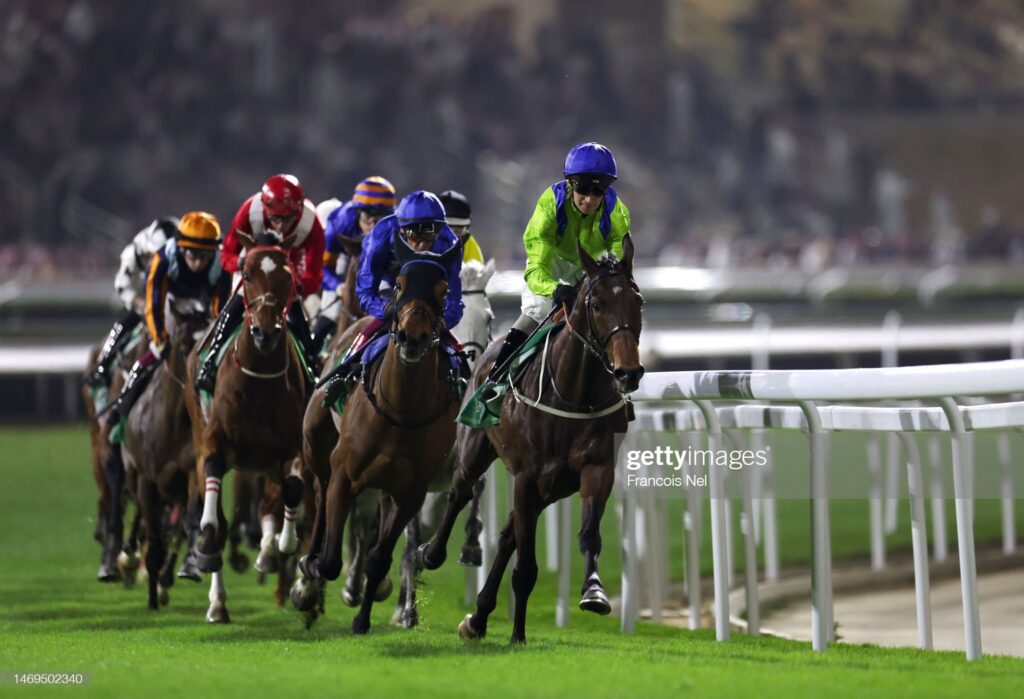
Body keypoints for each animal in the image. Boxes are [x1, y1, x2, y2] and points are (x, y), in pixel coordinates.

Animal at [184, 236, 309, 622]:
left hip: (264, 463)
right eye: (248, 274)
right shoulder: (216, 442)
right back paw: (217, 603)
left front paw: (279, 545)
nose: (265, 333)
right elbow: (215, 523)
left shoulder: (288, 450)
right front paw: (208, 542)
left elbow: (292, 491)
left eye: (288, 277)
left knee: (271, 503)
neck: (260, 382)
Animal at [290, 233, 462, 634]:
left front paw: (363, 617)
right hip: (316, 444)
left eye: (443, 289)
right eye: (399, 284)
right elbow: (331, 560)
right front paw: (313, 571)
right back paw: (307, 572)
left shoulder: (410, 491)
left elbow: (380, 557)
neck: (401, 410)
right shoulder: (344, 472)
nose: (413, 337)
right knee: (318, 492)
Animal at [419, 236, 643, 646]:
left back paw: (478, 616)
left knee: (509, 532)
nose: (628, 371)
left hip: (552, 487)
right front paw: (518, 635)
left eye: (638, 301)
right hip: (478, 449)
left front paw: (594, 592)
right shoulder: (526, 475)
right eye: (597, 304)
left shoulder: (595, 469)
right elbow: (524, 567)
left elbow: (589, 534)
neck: (573, 392)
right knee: (460, 493)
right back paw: (433, 554)